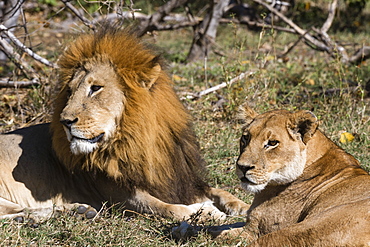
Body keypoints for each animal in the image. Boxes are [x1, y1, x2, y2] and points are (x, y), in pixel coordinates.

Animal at [0, 24, 249, 222]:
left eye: (95, 88)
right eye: (70, 91)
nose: (65, 121)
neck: (142, 141)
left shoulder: (180, 180)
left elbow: (222, 192)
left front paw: (245, 207)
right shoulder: (122, 196)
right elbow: (168, 208)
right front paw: (206, 212)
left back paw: (78, 211)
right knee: (14, 212)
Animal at [176, 104, 370, 245]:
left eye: (272, 143)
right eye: (246, 138)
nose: (242, 167)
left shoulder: (256, 230)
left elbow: (214, 233)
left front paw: (186, 231)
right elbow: (224, 224)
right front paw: (181, 228)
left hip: (305, 228)